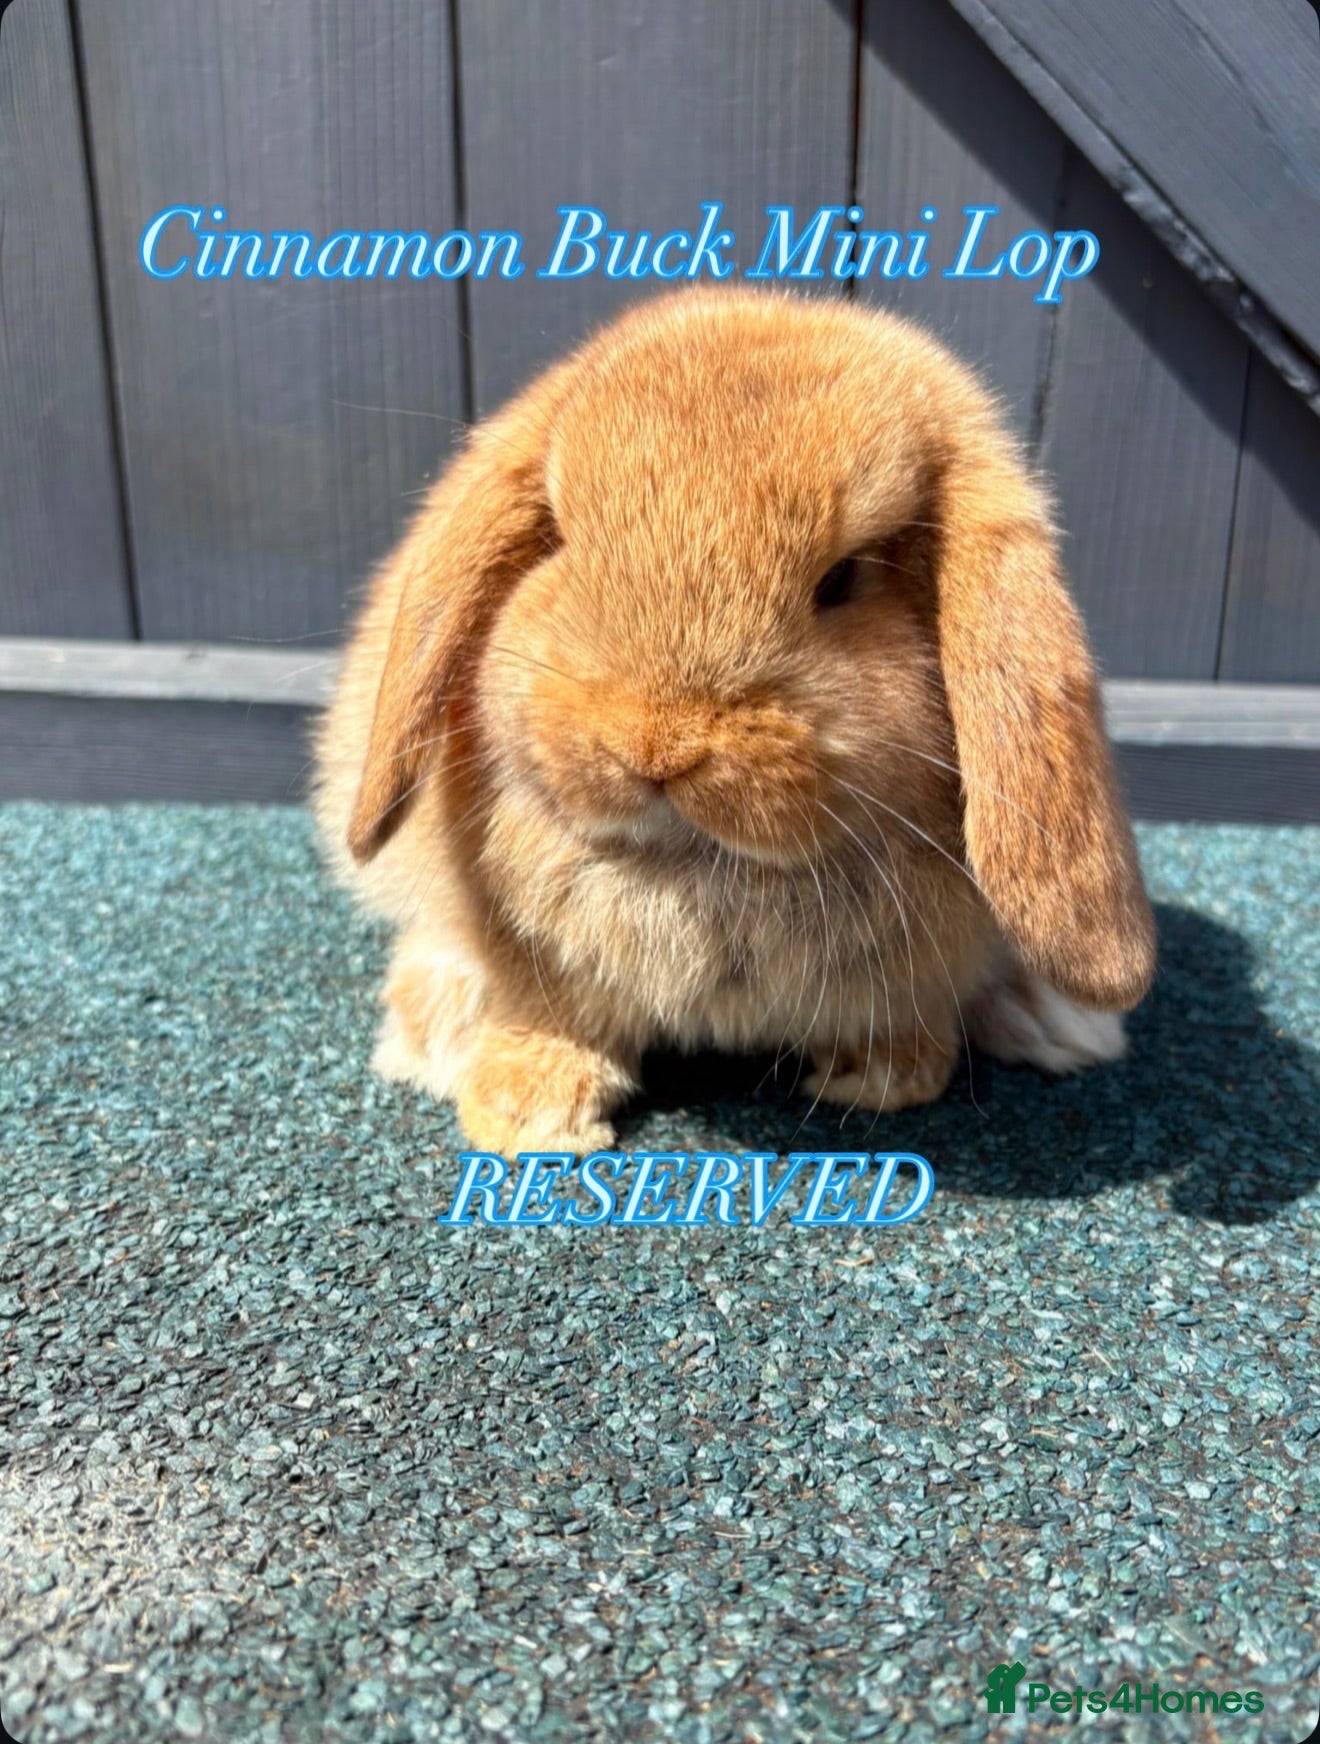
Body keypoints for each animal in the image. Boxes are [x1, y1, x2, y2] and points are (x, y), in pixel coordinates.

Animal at [313, 289, 1155, 1156]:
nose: (656, 745)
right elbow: (555, 1010)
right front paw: (529, 1119)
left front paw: (884, 1080)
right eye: (562, 539)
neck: (694, 873)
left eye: (843, 579)